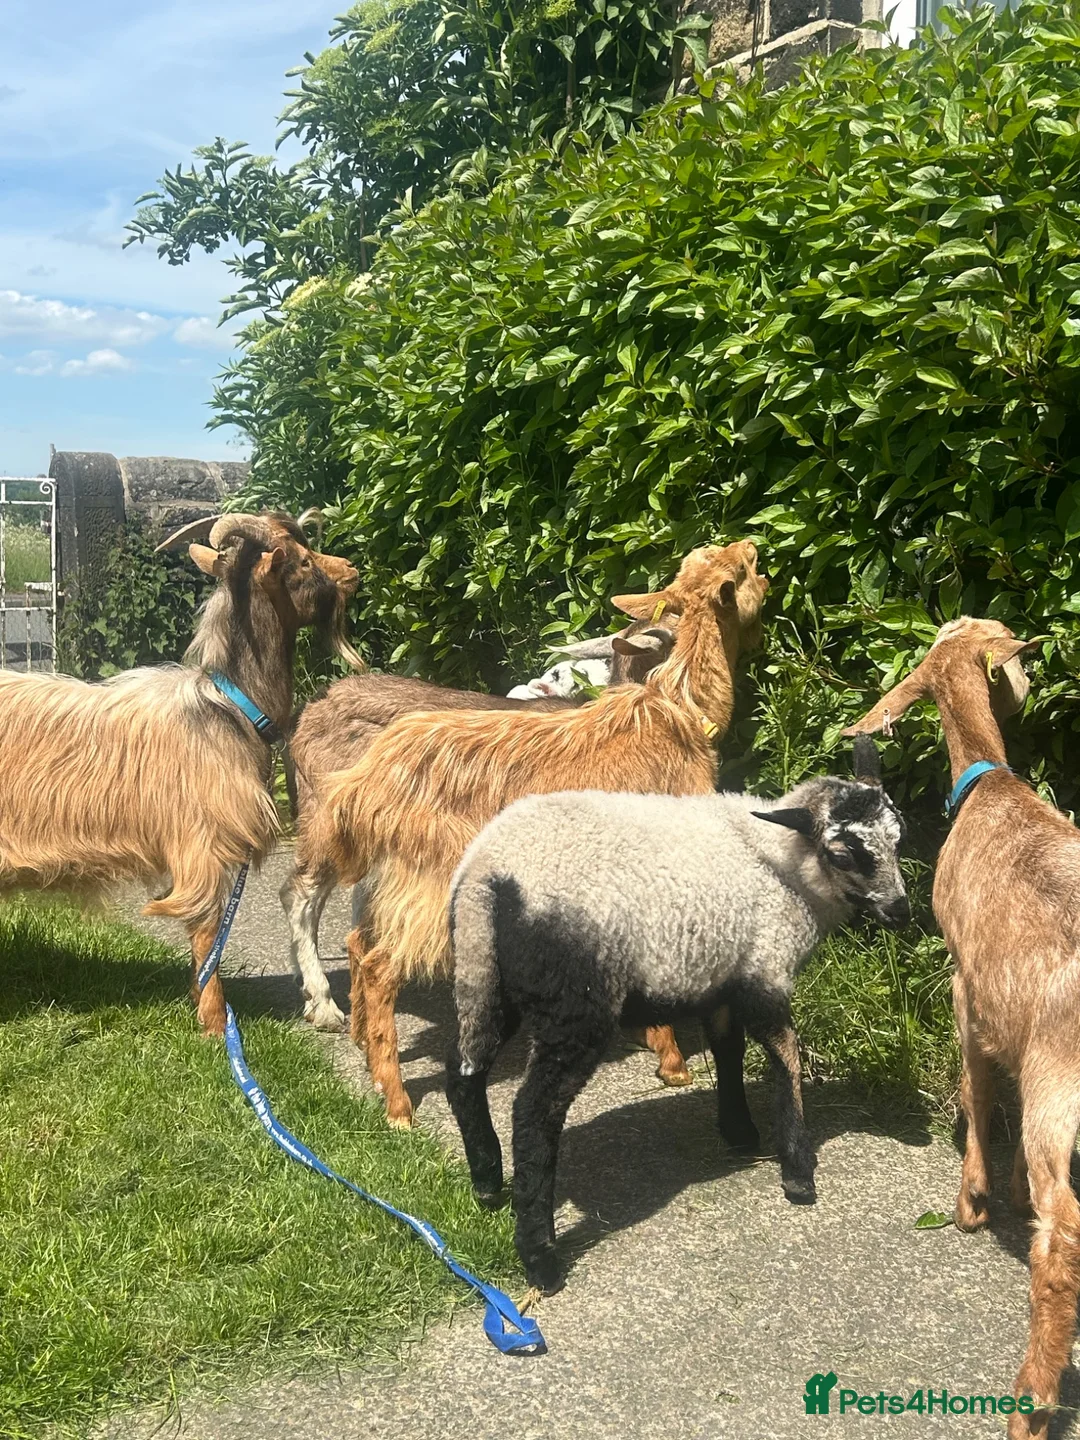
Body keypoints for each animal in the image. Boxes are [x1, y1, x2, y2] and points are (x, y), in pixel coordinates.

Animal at [0, 510, 359, 1035]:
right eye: (304, 561)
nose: (351, 571)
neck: (230, 705)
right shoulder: (201, 842)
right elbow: (207, 930)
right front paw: (213, 1022)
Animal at [445, 738, 909, 1294]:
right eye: (843, 853)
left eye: (898, 837)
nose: (903, 912)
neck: (784, 867)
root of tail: (487, 875)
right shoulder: (764, 970)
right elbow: (787, 1056)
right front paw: (797, 1170)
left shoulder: (723, 976)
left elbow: (729, 1049)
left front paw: (739, 1131)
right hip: (574, 1002)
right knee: (533, 1113)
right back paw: (540, 1259)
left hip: (484, 977)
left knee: (464, 1074)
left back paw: (487, 1183)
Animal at [842, 617, 1068, 1440]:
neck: (990, 784)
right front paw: (1001, 1188)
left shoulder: (967, 983)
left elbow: (978, 1087)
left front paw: (974, 1199)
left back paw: (1032, 1399)